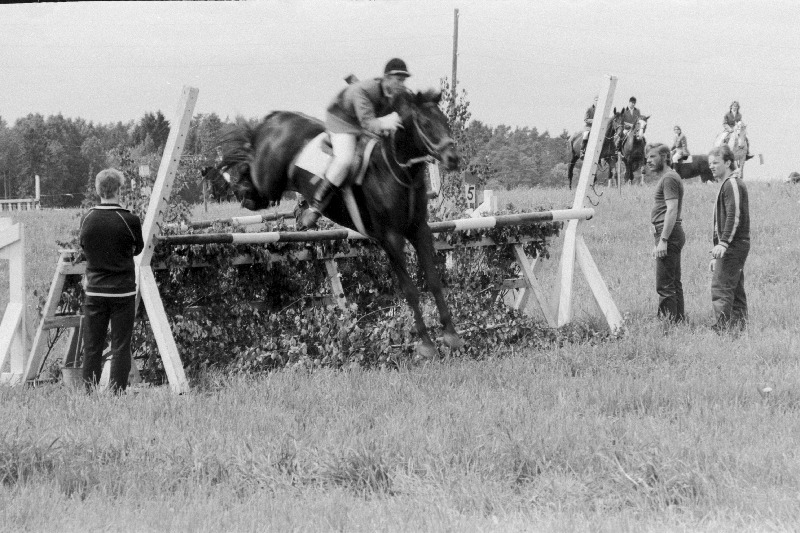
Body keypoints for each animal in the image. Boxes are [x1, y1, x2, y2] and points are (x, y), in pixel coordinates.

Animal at [219, 89, 466, 360]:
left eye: (444, 120)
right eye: (424, 123)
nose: (453, 158)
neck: (395, 170)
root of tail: (275, 118)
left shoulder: (419, 230)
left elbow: (433, 280)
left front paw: (451, 335)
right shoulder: (391, 238)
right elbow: (409, 288)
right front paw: (426, 343)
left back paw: (303, 211)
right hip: (267, 182)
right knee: (249, 178)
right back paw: (226, 175)